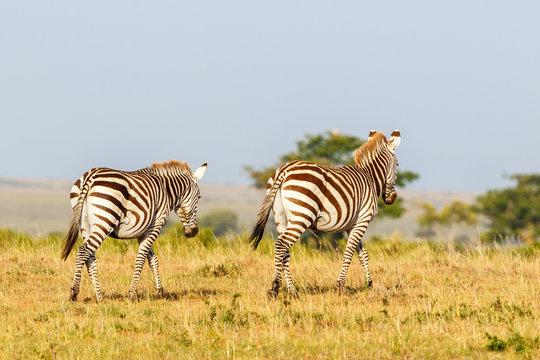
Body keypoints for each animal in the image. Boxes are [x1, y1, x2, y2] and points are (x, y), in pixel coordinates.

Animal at [61, 160, 207, 300]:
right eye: (199, 197)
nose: (193, 232)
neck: (166, 191)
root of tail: (91, 176)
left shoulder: (142, 231)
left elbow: (152, 260)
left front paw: (160, 291)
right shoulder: (155, 225)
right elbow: (141, 259)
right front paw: (132, 293)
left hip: (85, 225)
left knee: (90, 258)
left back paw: (100, 297)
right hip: (105, 221)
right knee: (83, 251)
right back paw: (74, 294)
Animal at [249, 129, 400, 298]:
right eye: (397, 165)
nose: (392, 198)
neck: (371, 178)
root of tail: (285, 170)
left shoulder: (352, 225)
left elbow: (362, 254)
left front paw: (370, 285)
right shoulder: (363, 220)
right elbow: (349, 252)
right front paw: (341, 287)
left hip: (280, 216)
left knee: (284, 251)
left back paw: (292, 291)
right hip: (302, 216)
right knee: (281, 245)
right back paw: (275, 288)